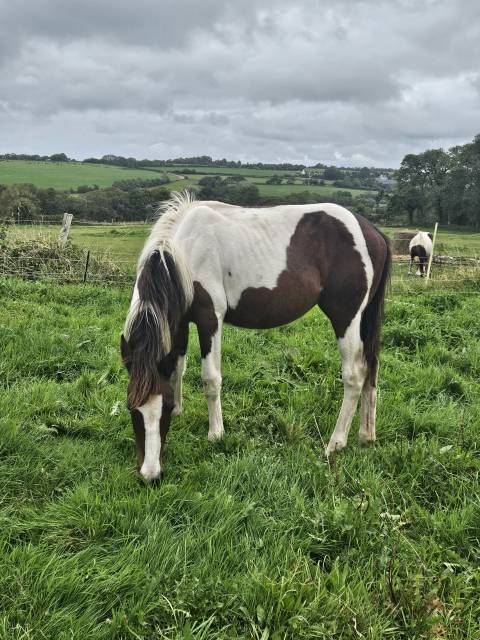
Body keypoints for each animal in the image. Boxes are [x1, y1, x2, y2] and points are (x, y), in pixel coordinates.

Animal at [120, 191, 390, 480]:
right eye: (131, 407)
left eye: (165, 409)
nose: (149, 474)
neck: (185, 251)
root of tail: (373, 232)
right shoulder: (180, 321)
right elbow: (177, 369)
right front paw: (183, 410)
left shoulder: (210, 319)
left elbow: (210, 379)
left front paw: (216, 433)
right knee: (371, 370)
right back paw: (366, 435)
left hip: (346, 318)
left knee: (354, 375)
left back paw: (335, 444)